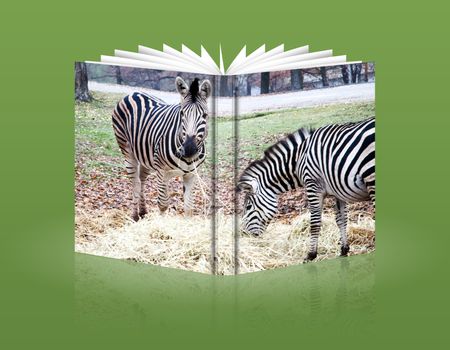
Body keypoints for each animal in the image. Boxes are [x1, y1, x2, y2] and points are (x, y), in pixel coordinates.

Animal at [111, 77, 212, 220]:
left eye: (204, 115)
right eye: (182, 113)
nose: (189, 149)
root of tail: (133, 93)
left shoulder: (191, 174)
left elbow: (189, 207)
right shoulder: (161, 171)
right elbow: (163, 204)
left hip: (146, 157)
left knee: (142, 179)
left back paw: (143, 211)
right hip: (128, 151)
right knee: (135, 183)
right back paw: (135, 216)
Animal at [237, 117, 374, 260]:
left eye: (248, 207)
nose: (244, 234)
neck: (298, 160)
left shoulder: (312, 186)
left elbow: (314, 223)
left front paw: (311, 255)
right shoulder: (337, 190)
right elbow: (341, 220)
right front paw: (344, 250)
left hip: (371, 178)